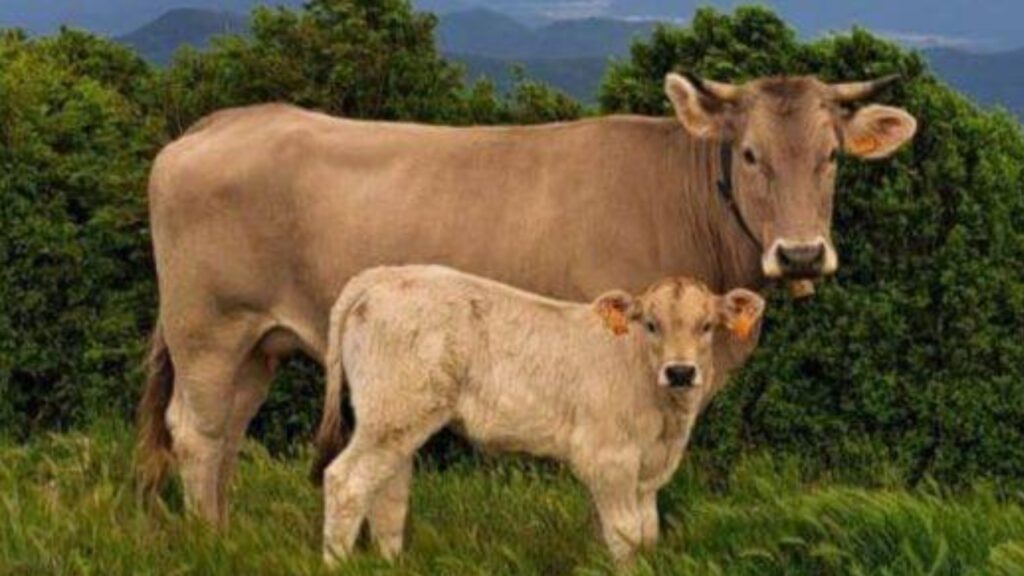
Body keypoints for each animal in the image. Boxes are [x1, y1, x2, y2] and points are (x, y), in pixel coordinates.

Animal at [137, 73, 917, 526]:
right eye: (751, 154)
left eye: (832, 156)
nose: (802, 253)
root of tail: (224, 121)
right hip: (209, 330)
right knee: (197, 435)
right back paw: (208, 543)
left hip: (257, 345)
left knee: (228, 435)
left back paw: (224, 531)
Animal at [311, 265, 766, 564]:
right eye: (651, 324)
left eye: (706, 326)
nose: (680, 372)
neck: (666, 423)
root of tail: (384, 275)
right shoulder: (609, 459)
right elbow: (624, 535)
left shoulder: (648, 472)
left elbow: (648, 532)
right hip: (390, 415)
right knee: (346, 483)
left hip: (400, 421)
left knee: (388, 494)